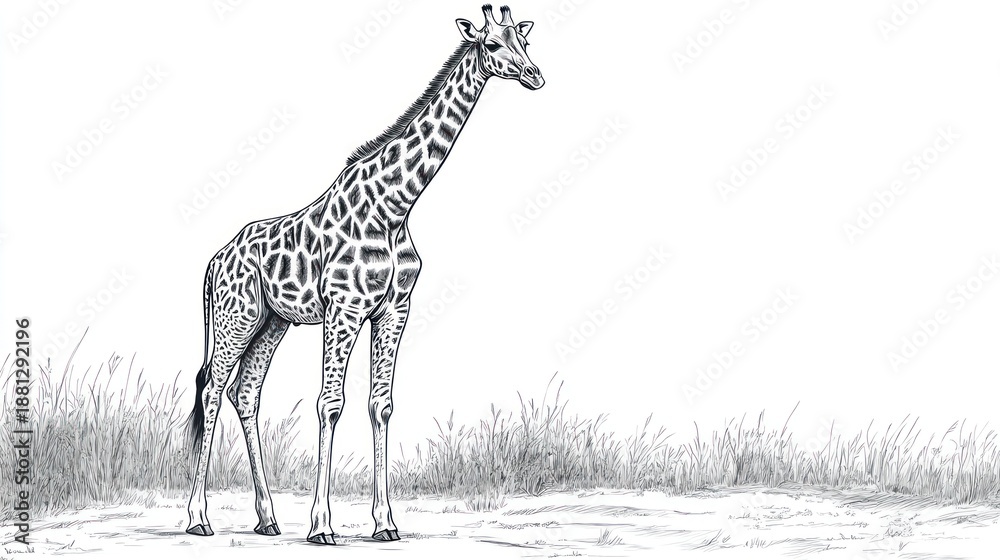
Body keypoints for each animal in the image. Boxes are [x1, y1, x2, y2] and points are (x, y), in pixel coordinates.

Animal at [184, 4, 543, 545]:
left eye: (523, 42)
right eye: (492, 45)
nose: (535, 75)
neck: (395, 206)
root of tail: (213, 261)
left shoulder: (394, 308)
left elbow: (382, 405)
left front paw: (385, 523)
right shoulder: (345, 307)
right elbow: (330, 403)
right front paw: (321, 526)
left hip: (272, 323)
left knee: (245, 394)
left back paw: (267, 519)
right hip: (235, 318)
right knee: (210, 392)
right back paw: (198, 518)